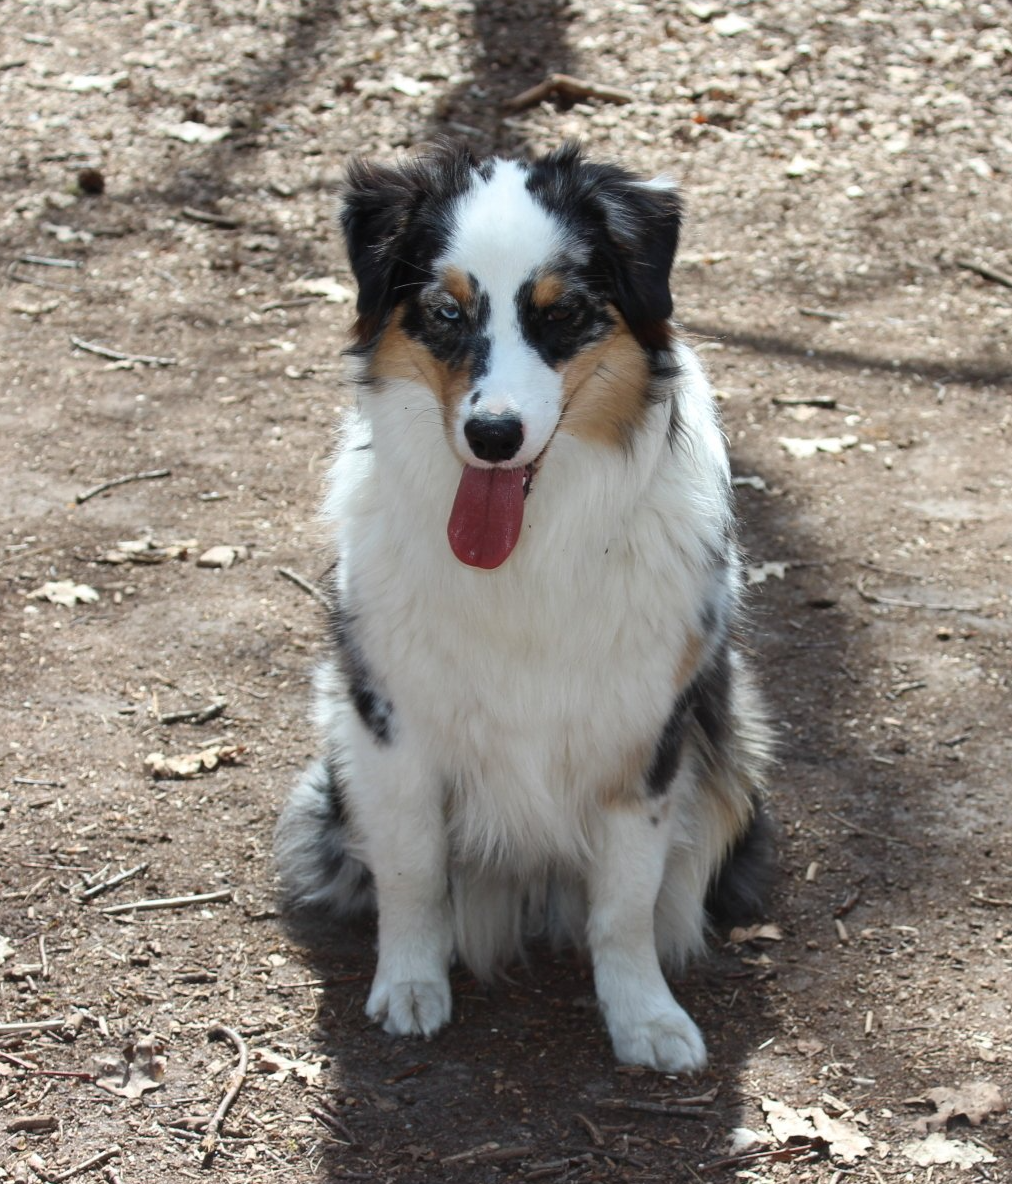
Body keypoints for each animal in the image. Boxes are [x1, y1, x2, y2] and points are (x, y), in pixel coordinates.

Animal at [275, 143, 773, 1074]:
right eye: (444, 313)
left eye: (562, 313)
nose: (494, 436)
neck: (527, 549)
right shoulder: (389, 723)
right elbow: (412, 871)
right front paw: (411, 984)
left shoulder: (648, 734)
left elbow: (626, 902)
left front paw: (644, 1015)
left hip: (732, 755)